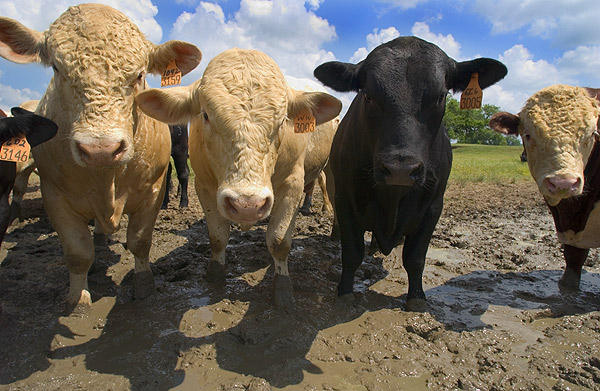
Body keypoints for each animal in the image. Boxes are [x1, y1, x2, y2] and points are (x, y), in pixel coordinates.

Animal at [137, 47, 342, 308]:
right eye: (206, 115)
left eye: (282, 120)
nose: (247, 204)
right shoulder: (204, 185)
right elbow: (217, 236)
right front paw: (215, 275)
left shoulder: (292, 183)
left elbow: (279, 240)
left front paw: (283, 290)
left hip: (330, 168)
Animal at [314, 36, 506, 312]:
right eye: (368, 96)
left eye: (440, 96)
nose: (400, 170)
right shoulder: (345, 198)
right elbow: (351, 252)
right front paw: (345, 292)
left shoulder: (434, 206)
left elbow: (415, 257)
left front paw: (416, 297)